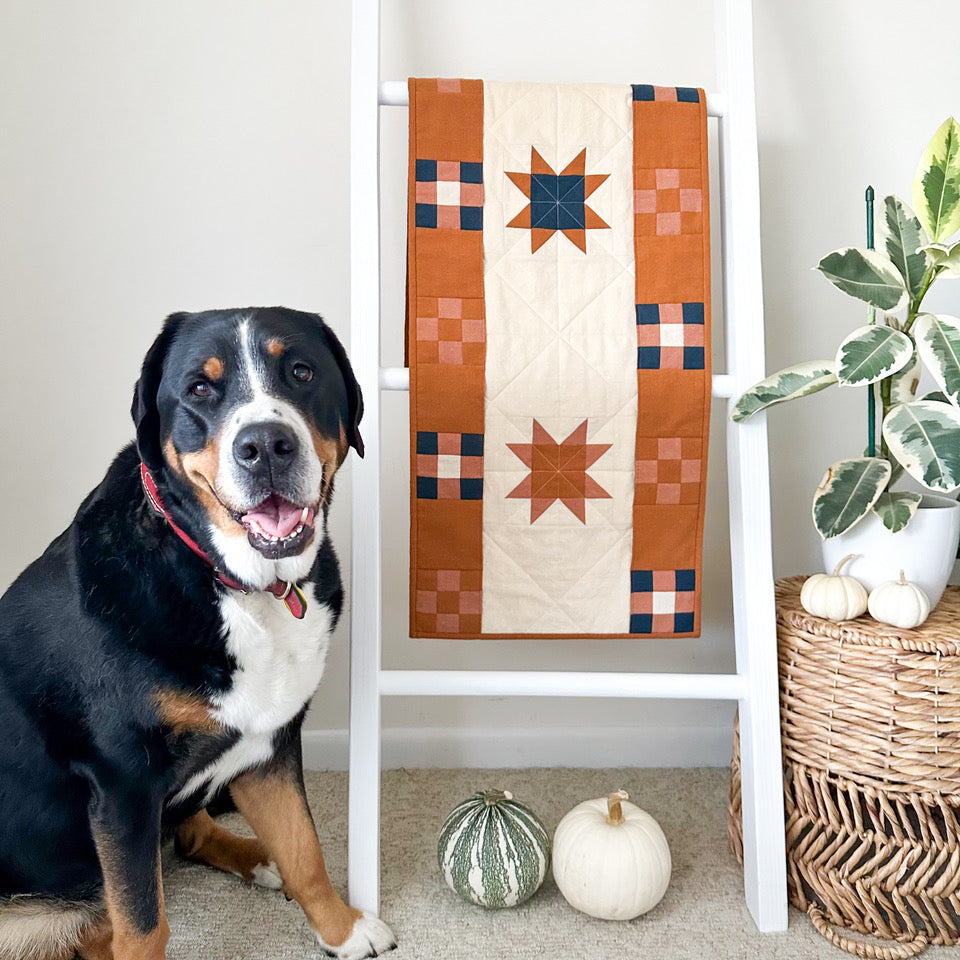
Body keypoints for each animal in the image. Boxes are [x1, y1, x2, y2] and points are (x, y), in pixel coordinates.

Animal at [0, 308, 394, 960]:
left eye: (301, 371)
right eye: (200, 388)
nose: (266, 447)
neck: (240, 585)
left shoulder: (270, 743)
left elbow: (304, 850)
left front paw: (341, 928)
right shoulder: (124, 784)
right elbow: (144, 924)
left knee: (189, 836)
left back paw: (257, 858)